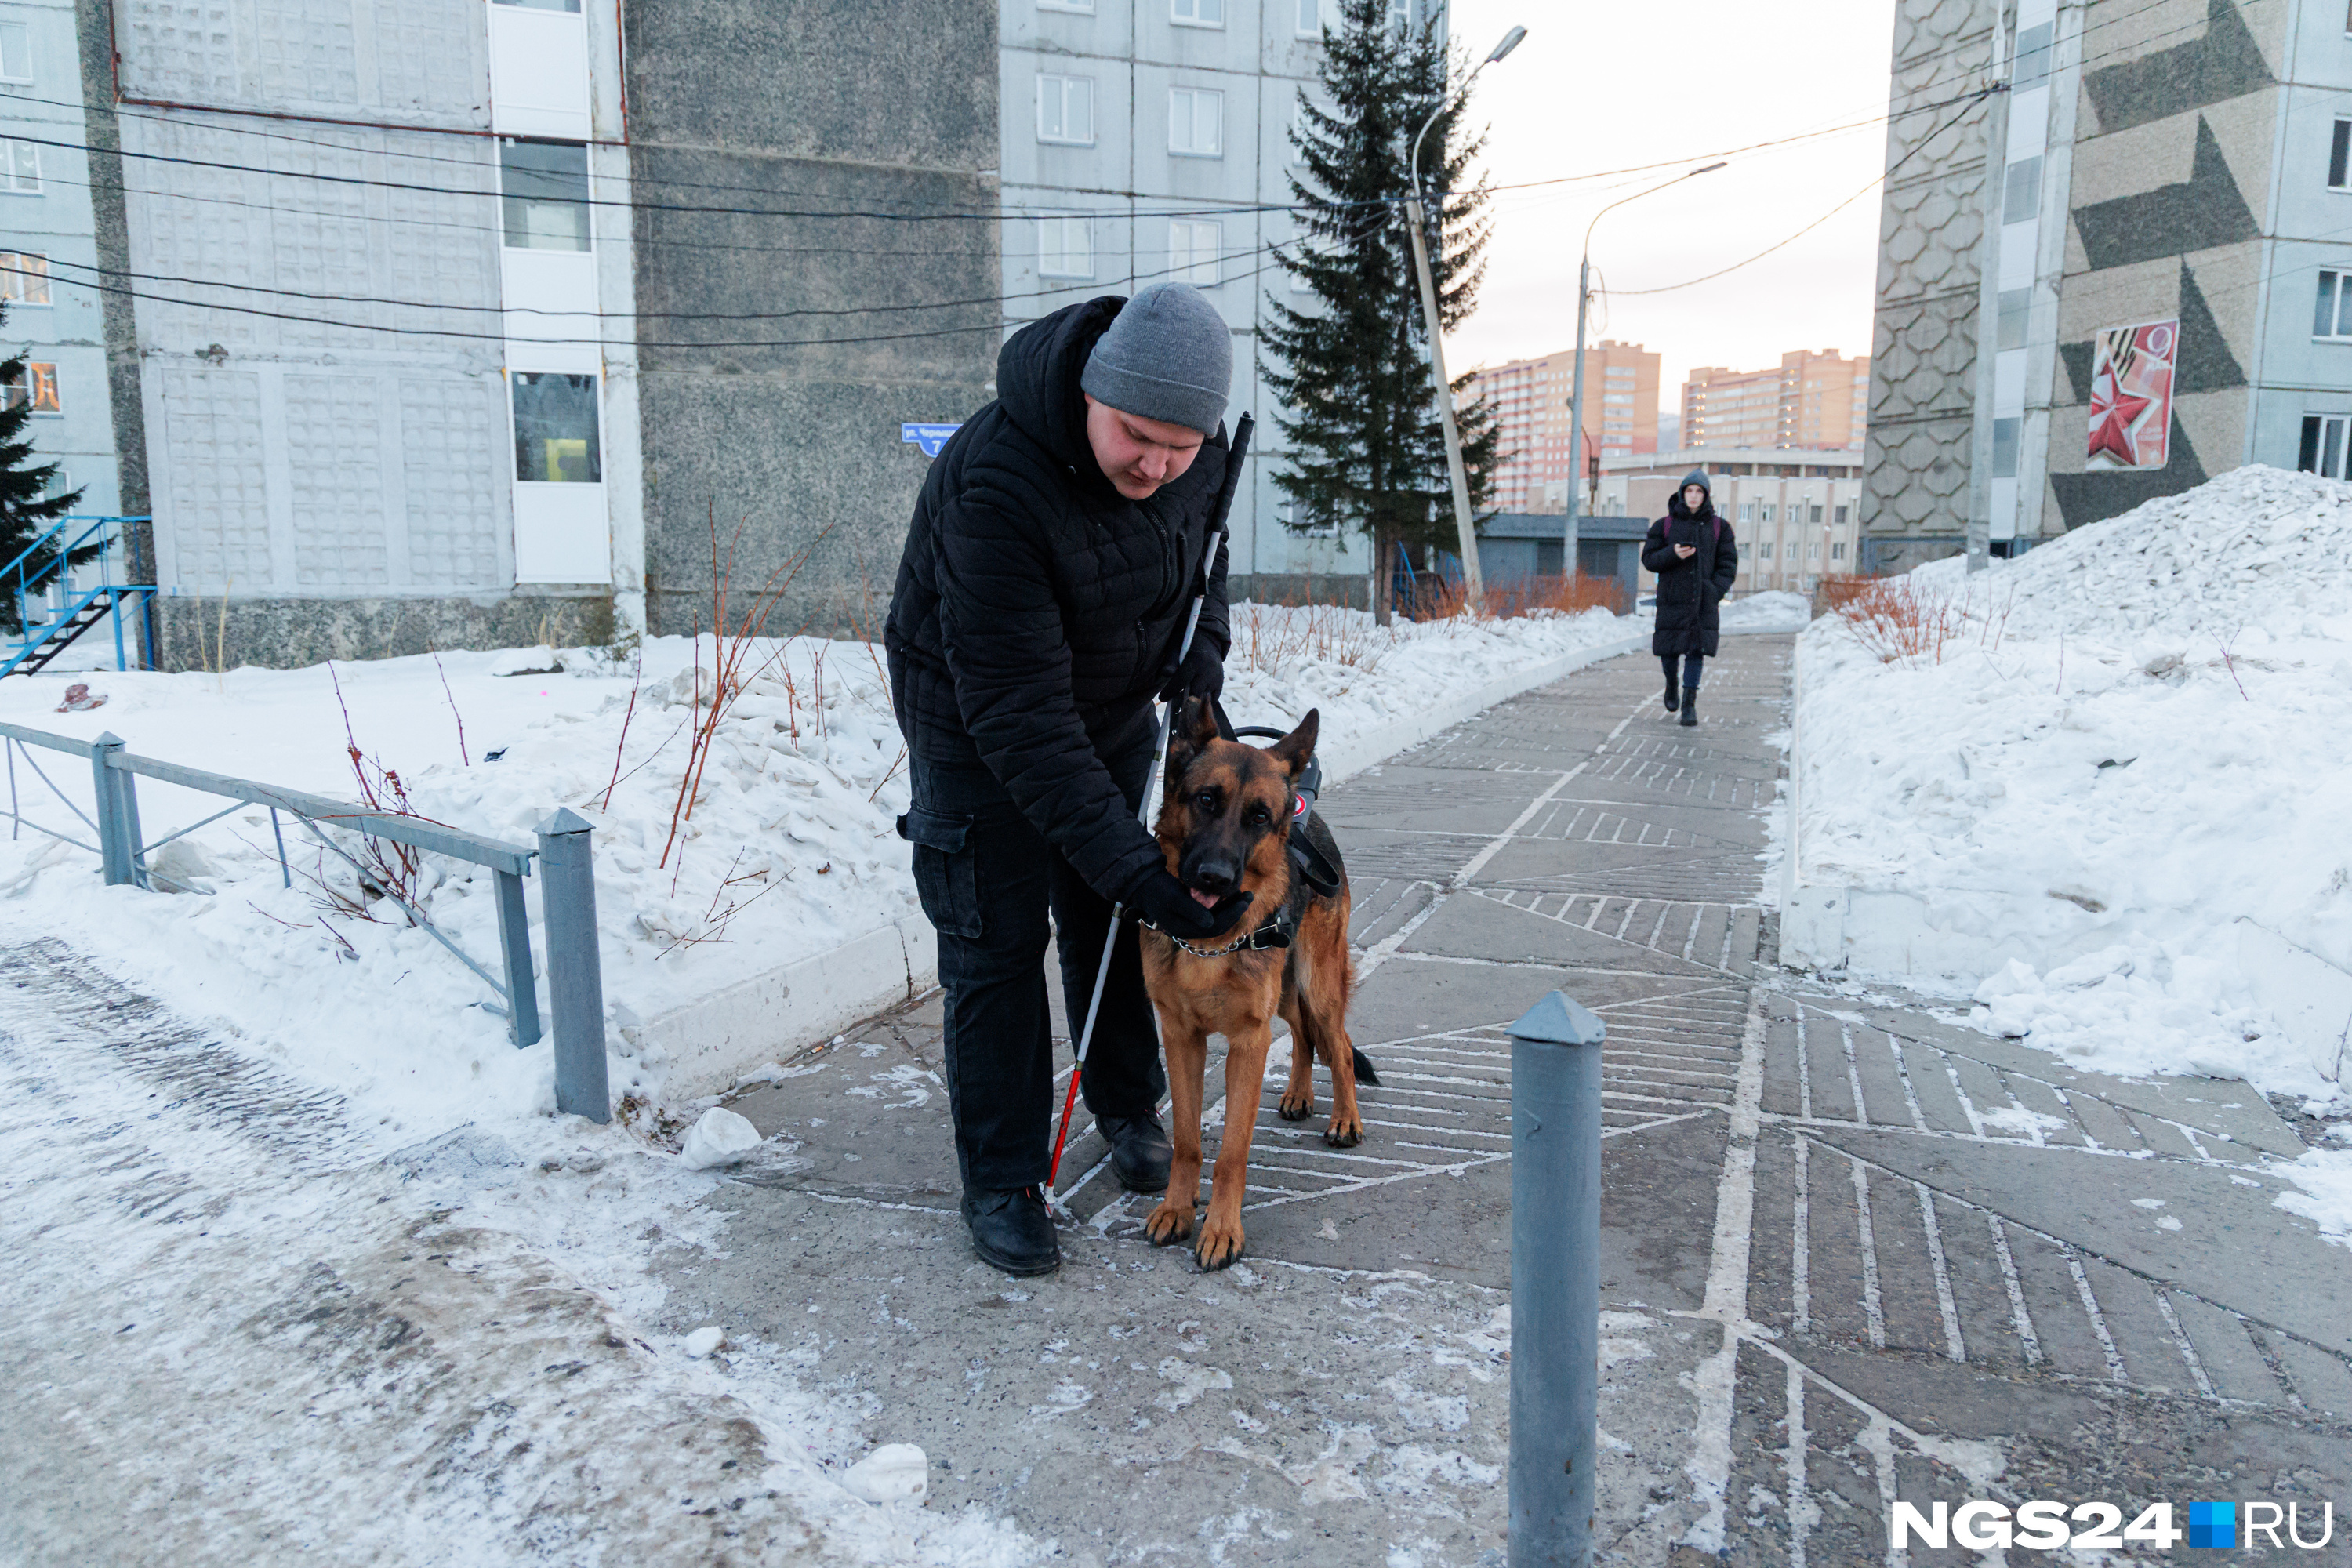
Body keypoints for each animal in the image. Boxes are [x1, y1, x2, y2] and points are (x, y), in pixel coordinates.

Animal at [1138, 705, 1374, 1269]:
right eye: (1206, 799)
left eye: (1260, 817)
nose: (1215, 878)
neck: (1209, 941)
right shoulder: (1180, 1037)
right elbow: (1186, 1141)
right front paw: (1176, 1209)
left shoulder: (1249, 1040)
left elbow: (1231, 1153)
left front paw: (1222, 1230)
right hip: (1287, 996)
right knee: (1305, 1037)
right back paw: (1298, 1094)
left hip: (1316, 983)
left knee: (1339, 1044)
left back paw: (1345, 1119)